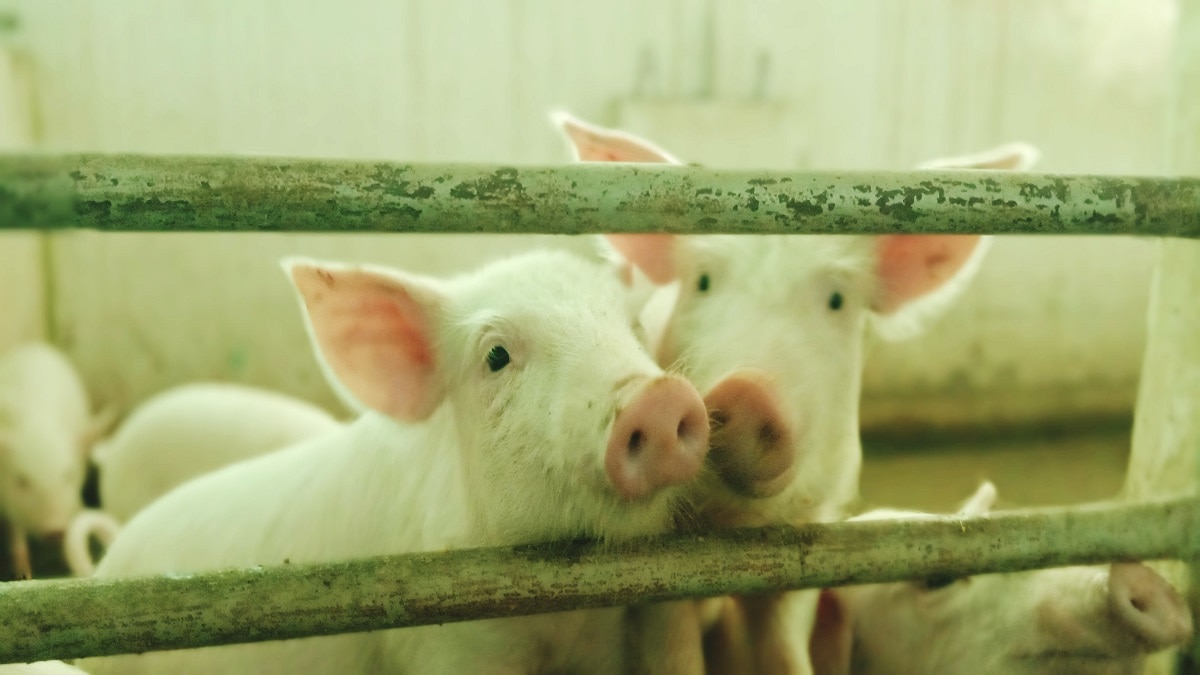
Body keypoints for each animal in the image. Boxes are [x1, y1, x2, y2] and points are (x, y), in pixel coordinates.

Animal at [0, 343, 112, 580]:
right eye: (22, 481)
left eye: (68, 475)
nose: (55, 530)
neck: (37, 424)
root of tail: (34, 346)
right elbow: (15, 533)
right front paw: (24, 575)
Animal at [551, 111, 1040, 674]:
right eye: (702, 282)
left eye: (836, 300)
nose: (749, 389)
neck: (734, 525)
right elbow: (674, 648)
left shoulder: (813, 529)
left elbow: (783, 646)